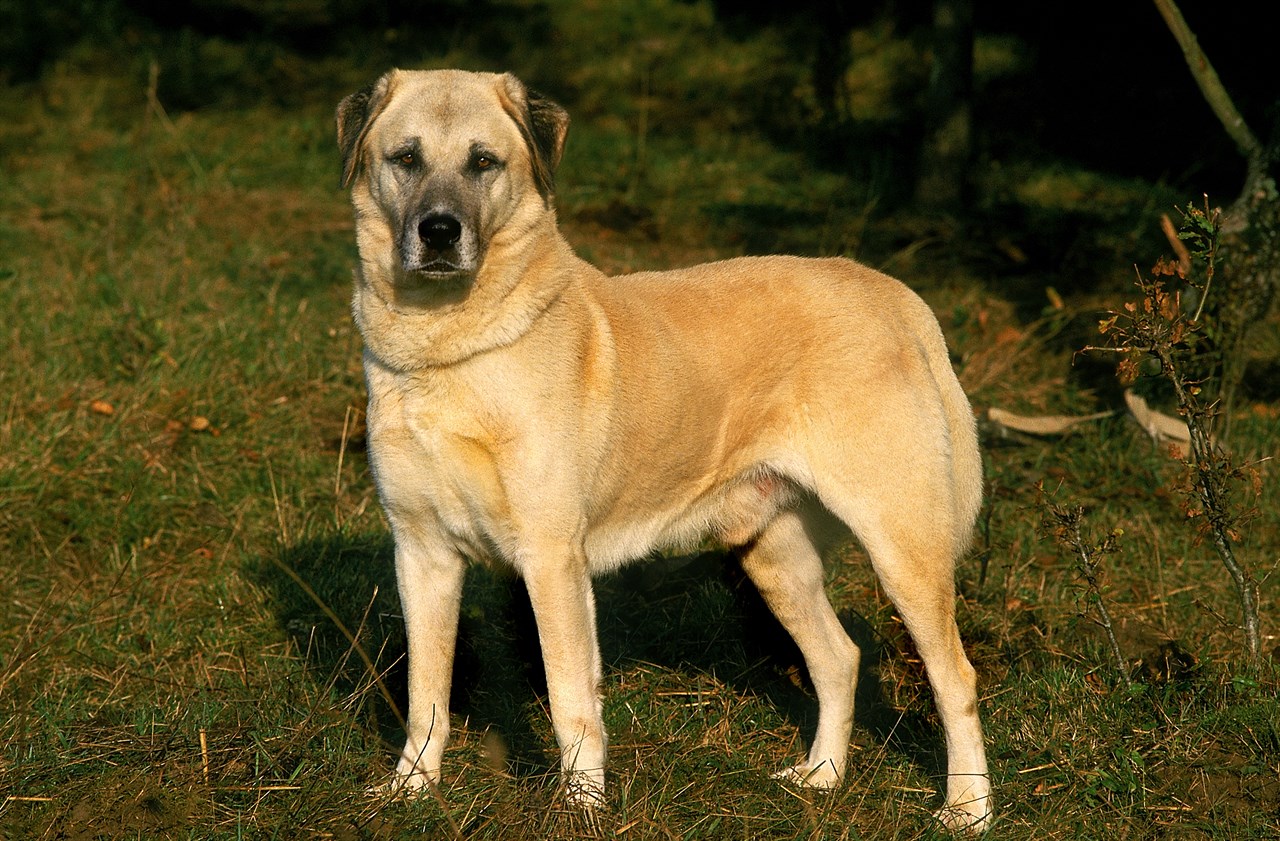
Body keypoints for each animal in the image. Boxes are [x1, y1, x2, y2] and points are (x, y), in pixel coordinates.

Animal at [337, 68, 988, 829]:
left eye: (483, 162)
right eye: (405, 158)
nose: (439, 231)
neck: (447, 352)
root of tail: (893, 294)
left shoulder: (551, 558)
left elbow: (570, 698)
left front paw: (580, 809)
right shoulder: (422, 553)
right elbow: (425, 691)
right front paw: (412, 789)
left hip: (902, 545)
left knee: (955, 677)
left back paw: (969, 808)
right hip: (775, 554)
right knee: (839, 658)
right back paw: (822, 777)